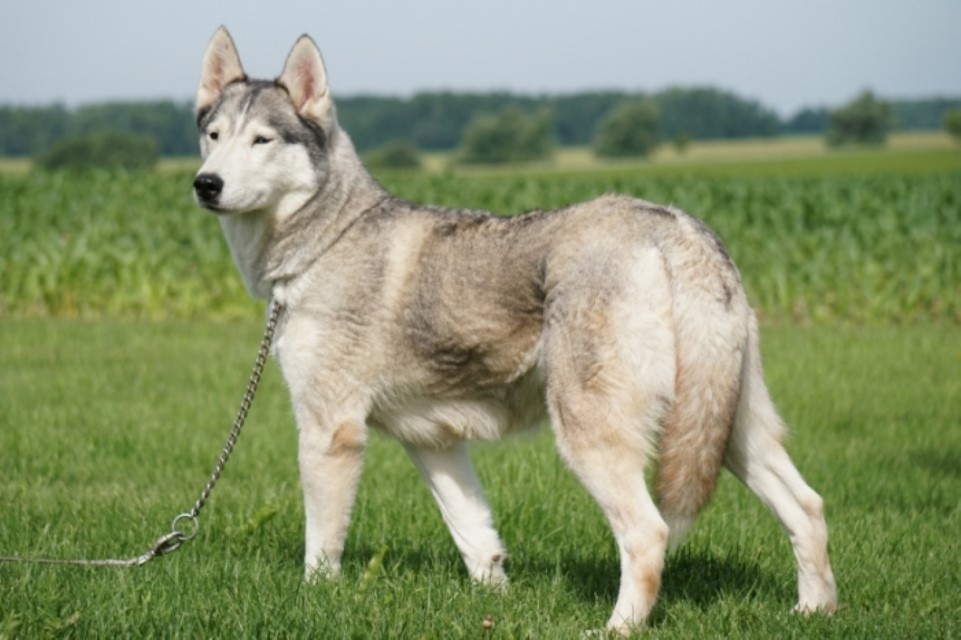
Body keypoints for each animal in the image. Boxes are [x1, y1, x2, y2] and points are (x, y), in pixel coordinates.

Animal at [192, 27, 837, 634]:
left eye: (262, 140)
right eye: (214, 136)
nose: (205, 184)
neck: (323, 241)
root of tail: (675, 227)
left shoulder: (330, 431)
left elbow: (321, 549)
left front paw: (314, 601)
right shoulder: (433, 442)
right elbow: (477, 539)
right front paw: (495, 607)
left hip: (593, 435)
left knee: (649, 533)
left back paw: (615, 629)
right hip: (727, 431)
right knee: (807, 507)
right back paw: (815, 612)